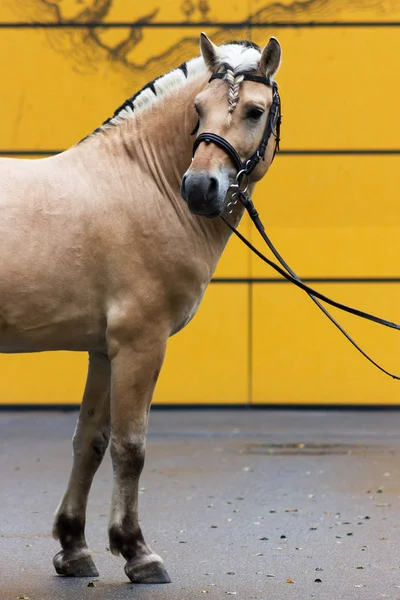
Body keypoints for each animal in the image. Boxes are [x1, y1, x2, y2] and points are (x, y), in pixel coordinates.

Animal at [0, 31, 282, 580]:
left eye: (255, 110)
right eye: (198, 108)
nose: (200, 188)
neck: (143, 184)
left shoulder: (104, 350)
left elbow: (90, 442)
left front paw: (74, 546)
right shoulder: (140, 343)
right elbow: (131, 448)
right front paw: (136, 550)